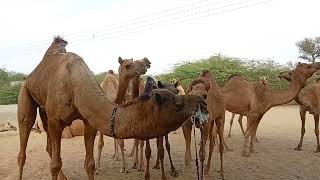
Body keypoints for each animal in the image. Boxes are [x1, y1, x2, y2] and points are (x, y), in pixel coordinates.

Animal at [16, 36, 208, 180]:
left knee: (48, 146)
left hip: (44, 112)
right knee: (24, 142)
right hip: (27, 95)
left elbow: (89, 163)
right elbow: (55, 165)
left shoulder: (89, 122)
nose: (202, 103)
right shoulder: (56, 121)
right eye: (177, 103)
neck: (76, 83)